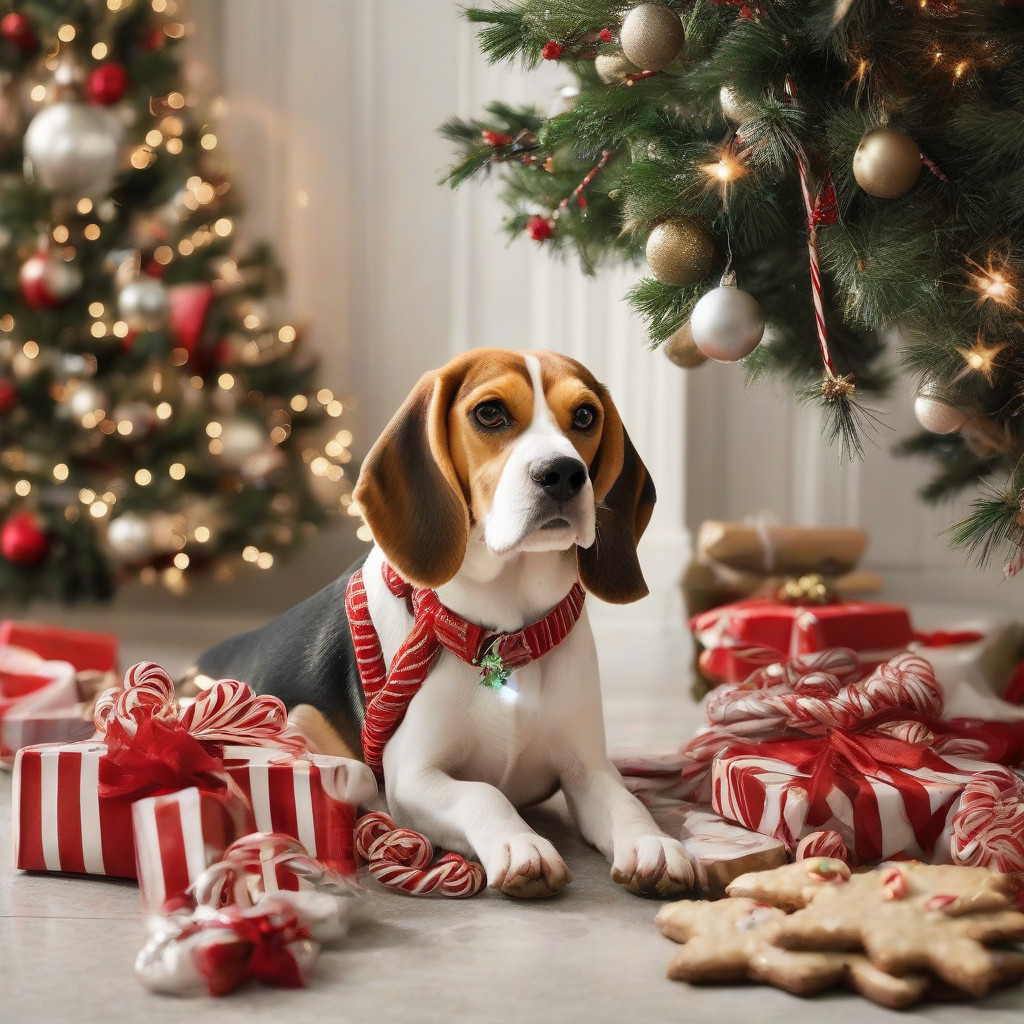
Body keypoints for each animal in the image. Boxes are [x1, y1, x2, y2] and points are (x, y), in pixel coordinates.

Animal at [195, 348, 700, 901]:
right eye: (490, 412)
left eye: (586, 416)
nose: (564, 473)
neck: (505, 636)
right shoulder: (414, 778)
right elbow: (482, 794)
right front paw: (520, 844)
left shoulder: (587, 766)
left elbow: (627, 801)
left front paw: (653, 844)